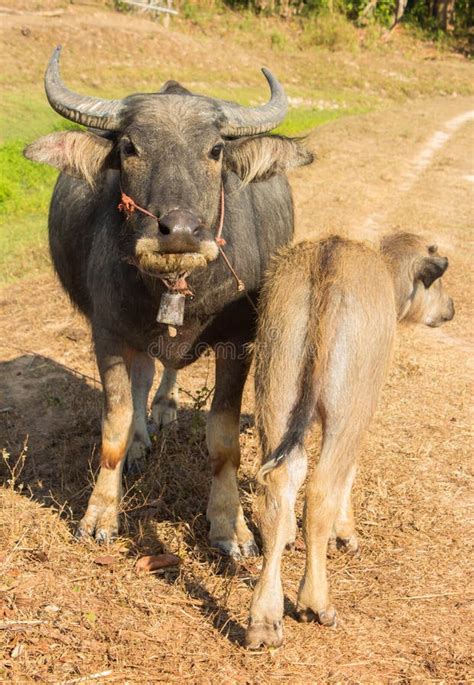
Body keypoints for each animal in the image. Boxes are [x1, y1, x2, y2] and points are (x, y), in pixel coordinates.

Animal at [26, 48, 314, 560]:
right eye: (129, 148)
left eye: (216, 150)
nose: (178, 231)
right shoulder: (109, 334)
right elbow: (114, 426)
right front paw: (100, 515)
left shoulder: (238, 342)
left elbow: (223, 439)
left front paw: (231, 529)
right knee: (143, 378)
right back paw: (143, 437)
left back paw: (164, 407)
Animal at [246, 232, 454, 648]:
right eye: (436, 283)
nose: (451, 308)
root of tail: (328, 262)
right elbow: (350, 472)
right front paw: (346, 534)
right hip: (347, 410)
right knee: (320, 489)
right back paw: (315, 602)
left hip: (275, 387)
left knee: (278, 485)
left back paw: (264, 619)